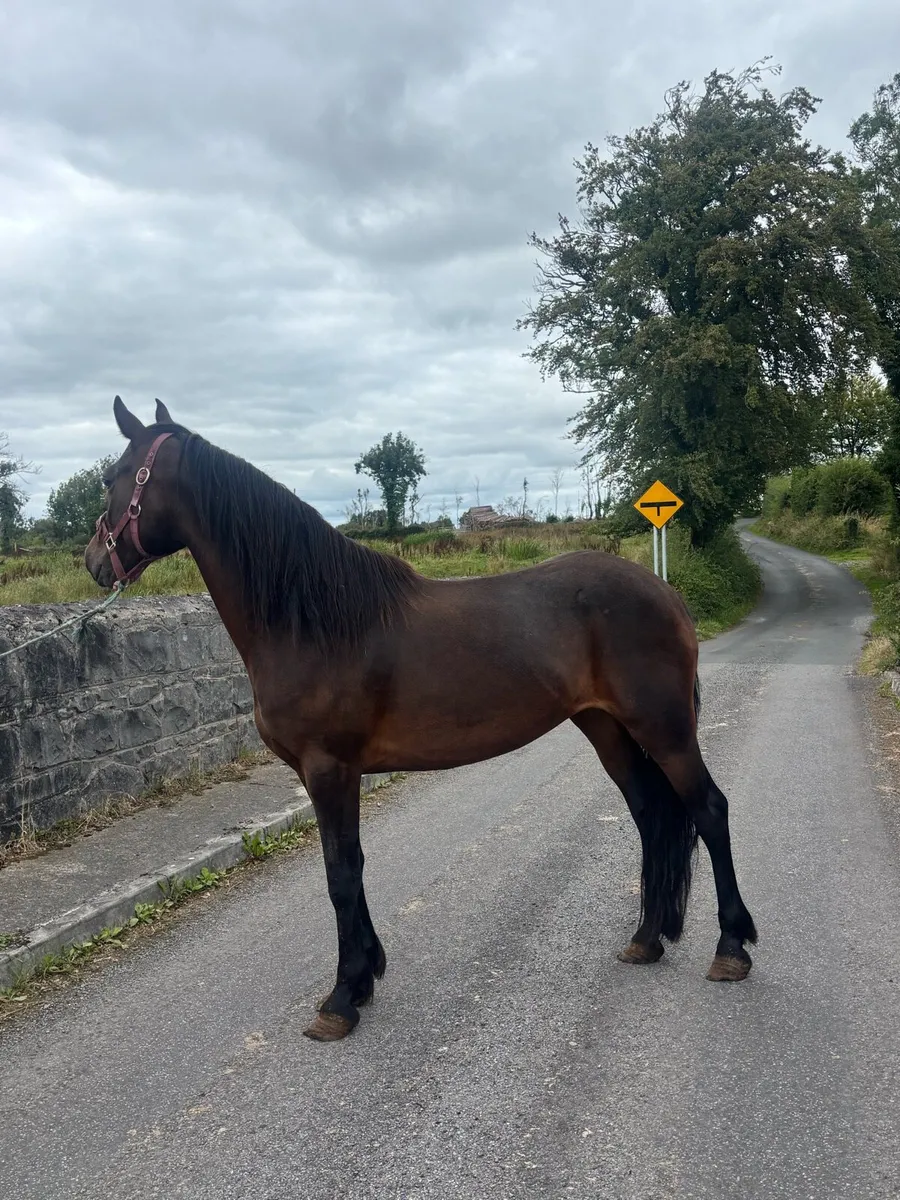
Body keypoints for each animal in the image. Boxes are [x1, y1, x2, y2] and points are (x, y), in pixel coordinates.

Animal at [84, 397, 757, 1041]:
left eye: (114, 477)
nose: (94, 561)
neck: (309, 621)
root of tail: (666, 593)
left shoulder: (329, 769)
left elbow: (340, 874)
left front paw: (342, 998)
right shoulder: (330, 774)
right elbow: (351, 868)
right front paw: (365, 977)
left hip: (665, 728)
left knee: (708, 810)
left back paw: (731, 948)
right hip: (606, 728)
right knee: (650, 815)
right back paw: (647, 938)